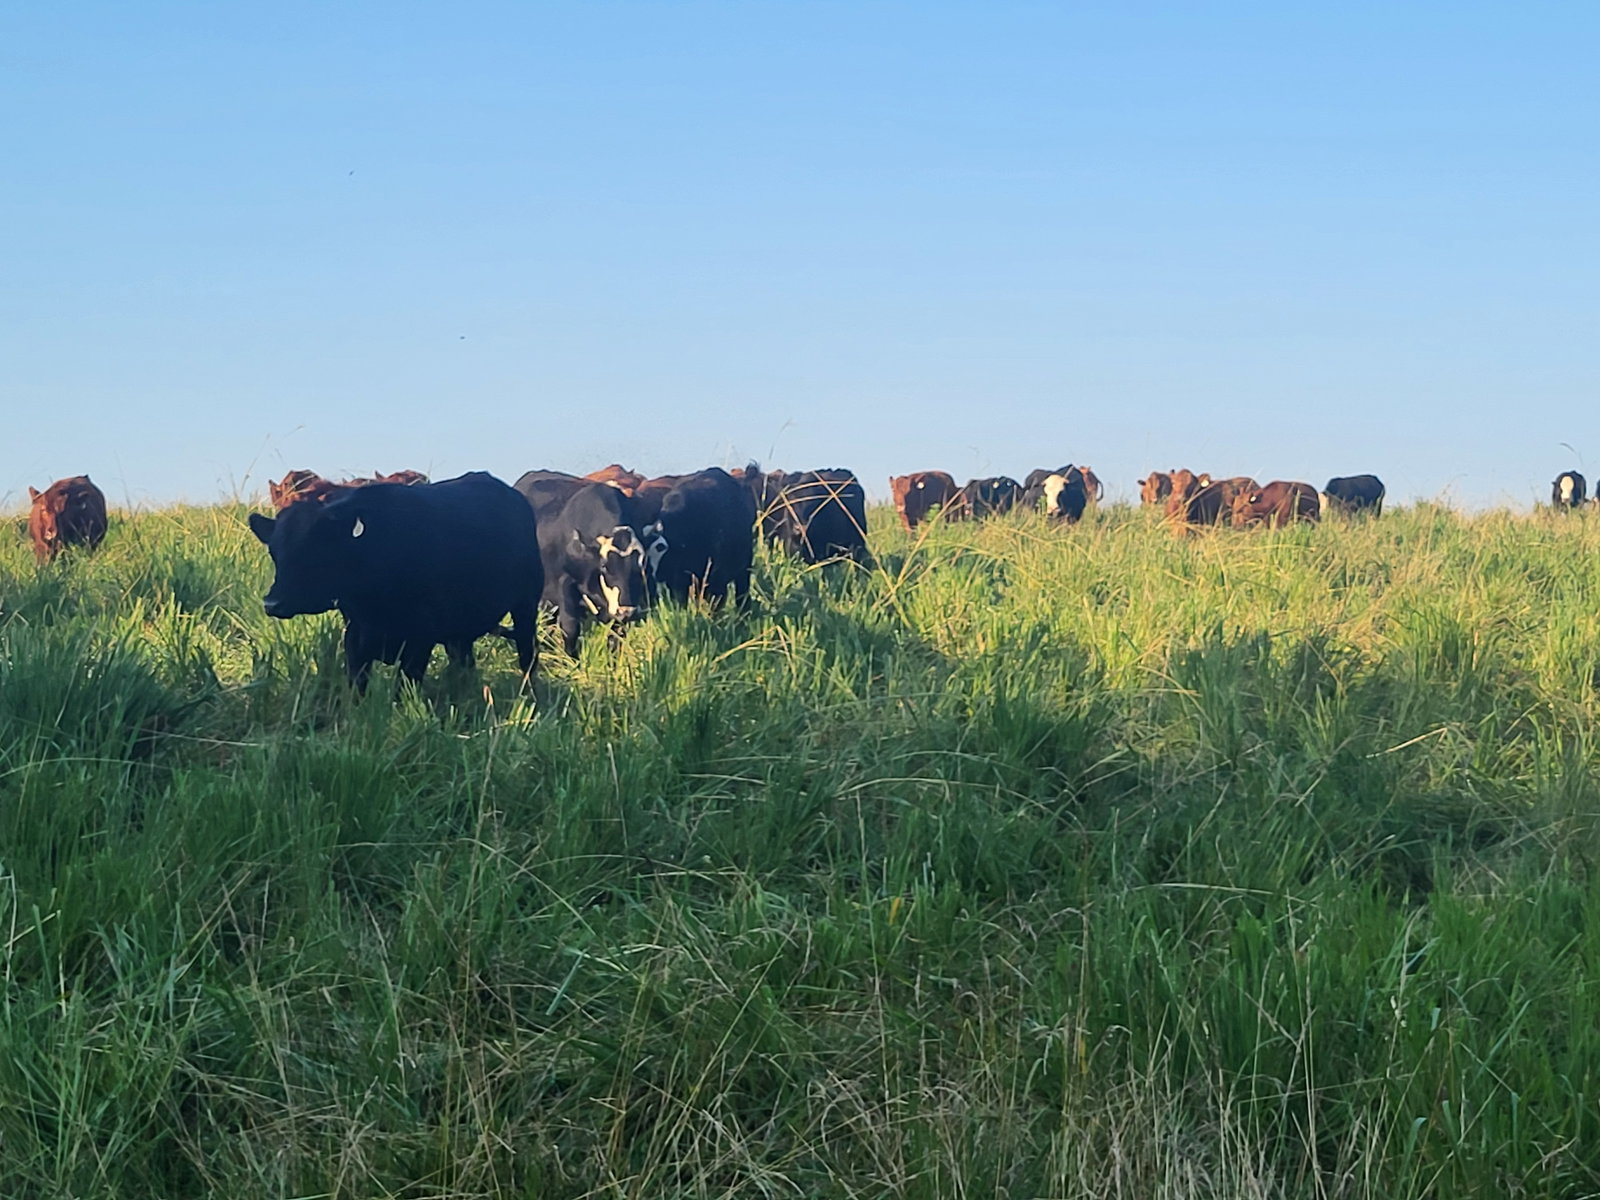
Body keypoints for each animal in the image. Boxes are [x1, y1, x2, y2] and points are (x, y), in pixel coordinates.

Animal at [248, 472, 542, 690]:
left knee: (528, 654)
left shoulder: (420, 640)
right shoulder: (355, 639)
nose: (273, 603)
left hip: (526, 606)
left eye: (317, 550)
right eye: (274, 552)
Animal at [536, 483, 651, 656]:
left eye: (641, 564)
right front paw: (571, 660)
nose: (626, 611)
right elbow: (570, 627)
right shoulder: (564, 581)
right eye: (604, 566)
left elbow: (617, 634)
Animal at [643, 468, 756, 608]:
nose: (653, 576)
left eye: (661, 548)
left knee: (742, 592)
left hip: (744, 565)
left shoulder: (717, 577)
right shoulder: (679, 582)